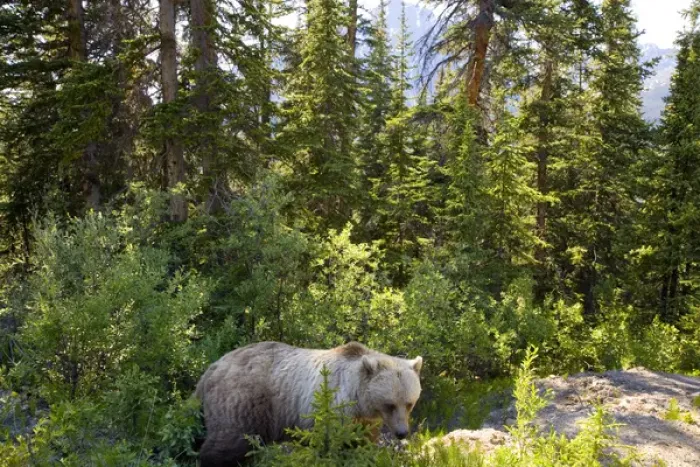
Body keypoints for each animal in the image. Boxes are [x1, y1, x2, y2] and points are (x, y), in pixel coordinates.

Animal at [195, 341, 423, 466]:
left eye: (409, 403)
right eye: (390, 404)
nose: (402, 432)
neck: (357, 399)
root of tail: (211, 368)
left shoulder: (364, 421)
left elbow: (362, 443)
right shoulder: (329, 409)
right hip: (243, 400)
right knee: (228, 442)